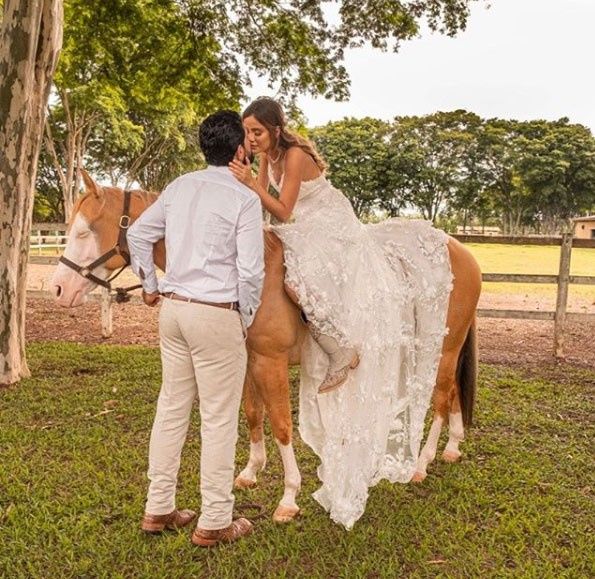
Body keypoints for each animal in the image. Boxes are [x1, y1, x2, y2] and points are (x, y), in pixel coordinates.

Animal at [51, 172, 484, 524]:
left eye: (84, 232)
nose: (58, 289)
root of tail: (460, 250)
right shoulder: (245, 360)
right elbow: (252, 413)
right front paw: (250, 471)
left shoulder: (270, 362)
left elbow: (281, 424)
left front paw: (289, 497)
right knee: (453, 395)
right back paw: (452, 448)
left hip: (441, 351)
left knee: (440, 398)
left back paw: (421, 463)